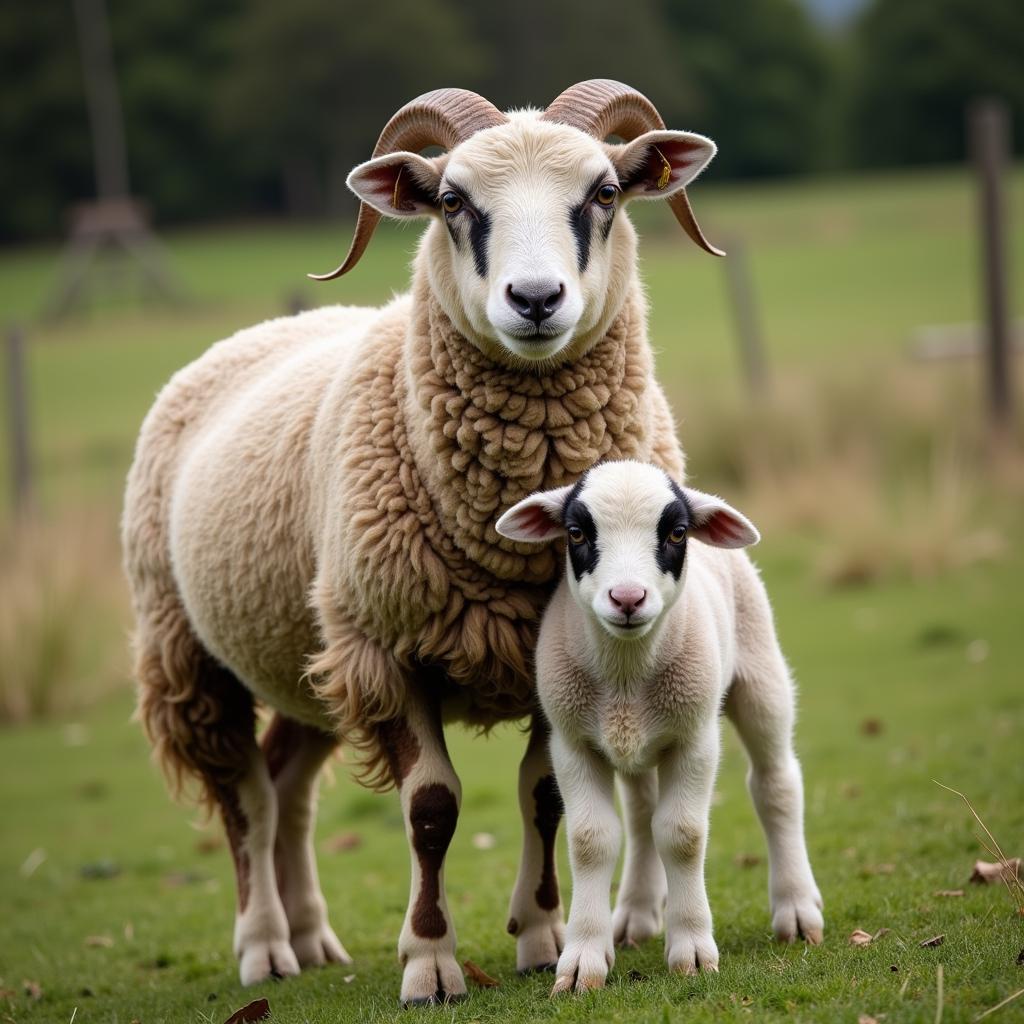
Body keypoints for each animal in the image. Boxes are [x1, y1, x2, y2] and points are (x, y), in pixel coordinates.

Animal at [123, 81, 724, 1007]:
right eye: (451, 202)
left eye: (605, 194)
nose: (536, 299)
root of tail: (259, 333)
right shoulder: (387, 650)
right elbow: (432, 808)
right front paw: (432, 963)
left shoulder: (544, 649)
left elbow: (544, 795)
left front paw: (541, 935)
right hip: (190, 650)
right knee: (243, 797)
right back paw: (266, 947)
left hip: (311, 649)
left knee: (288, 785)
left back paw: (314, 939)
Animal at [495, 462, 823, 991]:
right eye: (575, 532)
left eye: (677, 532)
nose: (627, 598)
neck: (626, 674)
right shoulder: (572, 744)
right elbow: (591, 840)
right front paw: (584, 958)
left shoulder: (695, 740)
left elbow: (682, 834)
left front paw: (692, 950)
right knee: (641, 813)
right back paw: (635, 914)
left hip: (760, 675)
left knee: (776, 784)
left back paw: (796, 909)